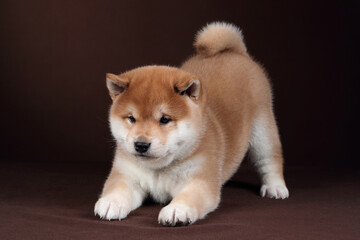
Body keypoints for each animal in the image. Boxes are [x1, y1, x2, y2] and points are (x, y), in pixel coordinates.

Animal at [94, 21, 288, 226]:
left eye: (165, 119)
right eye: (131, 118)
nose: (141, 144)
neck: (160, 169)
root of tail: (236, 52)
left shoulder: (199, 180)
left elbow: (188, 198)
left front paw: (176, 209)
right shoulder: (126, 175)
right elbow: (117, 189)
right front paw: (110, 202)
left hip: (263, 128)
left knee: (269, 159)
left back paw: (275, 187)